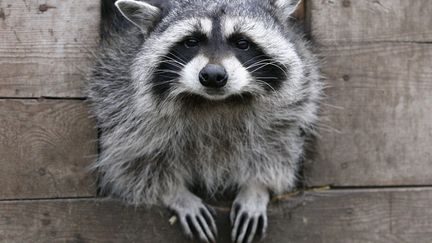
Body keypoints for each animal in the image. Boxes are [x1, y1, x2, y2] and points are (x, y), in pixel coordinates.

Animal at [87, 0, 320, 242]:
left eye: (242, 43)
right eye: (191, 42)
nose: (213, 75)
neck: (213, 103)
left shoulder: (293, 101)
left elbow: (277, 143)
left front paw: (257, 187)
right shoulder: (118, 92)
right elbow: (132, 159)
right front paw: (175, 194)